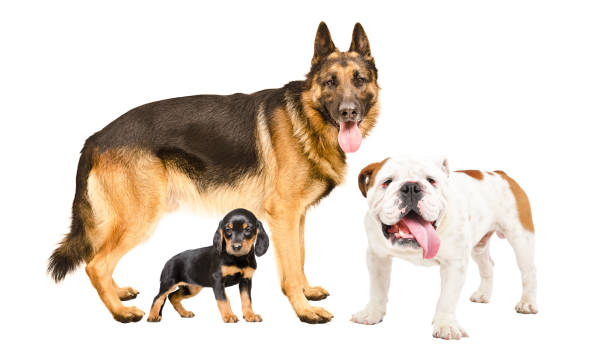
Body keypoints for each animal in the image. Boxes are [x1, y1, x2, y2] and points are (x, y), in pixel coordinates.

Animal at [352, 156, 536, 338]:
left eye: (431, 180)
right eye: (387, 182)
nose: (411, 187)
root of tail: (500, 173)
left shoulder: (454, 264)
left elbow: (447, 297)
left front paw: (446, 325)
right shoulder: (377, 257)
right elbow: (377, 289)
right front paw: (372, 313)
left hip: (521, 238)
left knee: (528, 272)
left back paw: (527, 303)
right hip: (479, 246)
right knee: (487, 265)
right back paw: (483, 294)